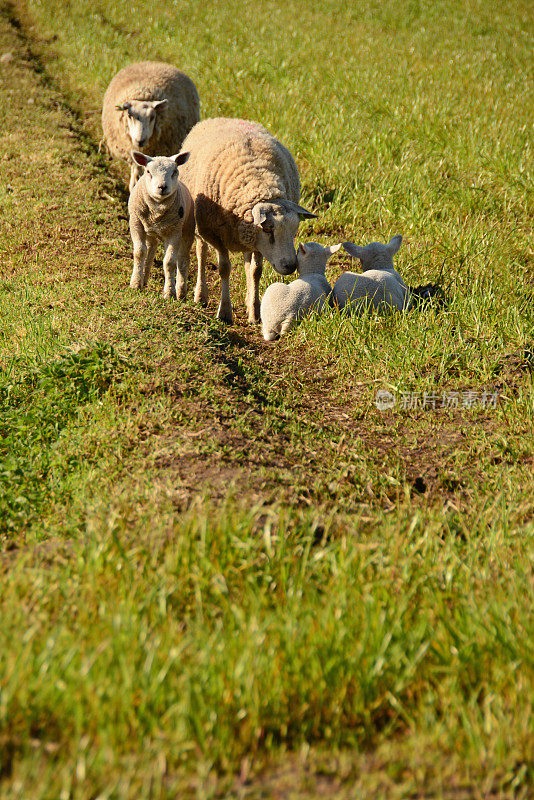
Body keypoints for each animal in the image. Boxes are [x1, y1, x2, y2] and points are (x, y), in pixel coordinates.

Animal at [129, 150, 196, 300]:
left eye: (175, 171)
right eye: (148, 171)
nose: (162, 187)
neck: (157, 211)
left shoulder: (174, 232)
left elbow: (170, 262)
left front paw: (169, 293)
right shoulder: (136, 223)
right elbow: (139, 252)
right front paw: (135, 284)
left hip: (187, 230)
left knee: (183, 260)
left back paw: (181, 292)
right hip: (150, 231)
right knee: (150, 249)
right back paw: (144, 279)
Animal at [179, 117, 318, 324]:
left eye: (294, 231)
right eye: (268, 229)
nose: (291, 266)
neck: (258, 181)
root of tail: (223, 118)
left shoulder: (256, 242)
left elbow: (255, 271)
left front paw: (255, 311)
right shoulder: (216, 235)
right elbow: (224, 269)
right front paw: (225, 312)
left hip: (246, 237)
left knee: (246, 263)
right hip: (200, 227)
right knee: (201, 253)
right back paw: (201, 294)